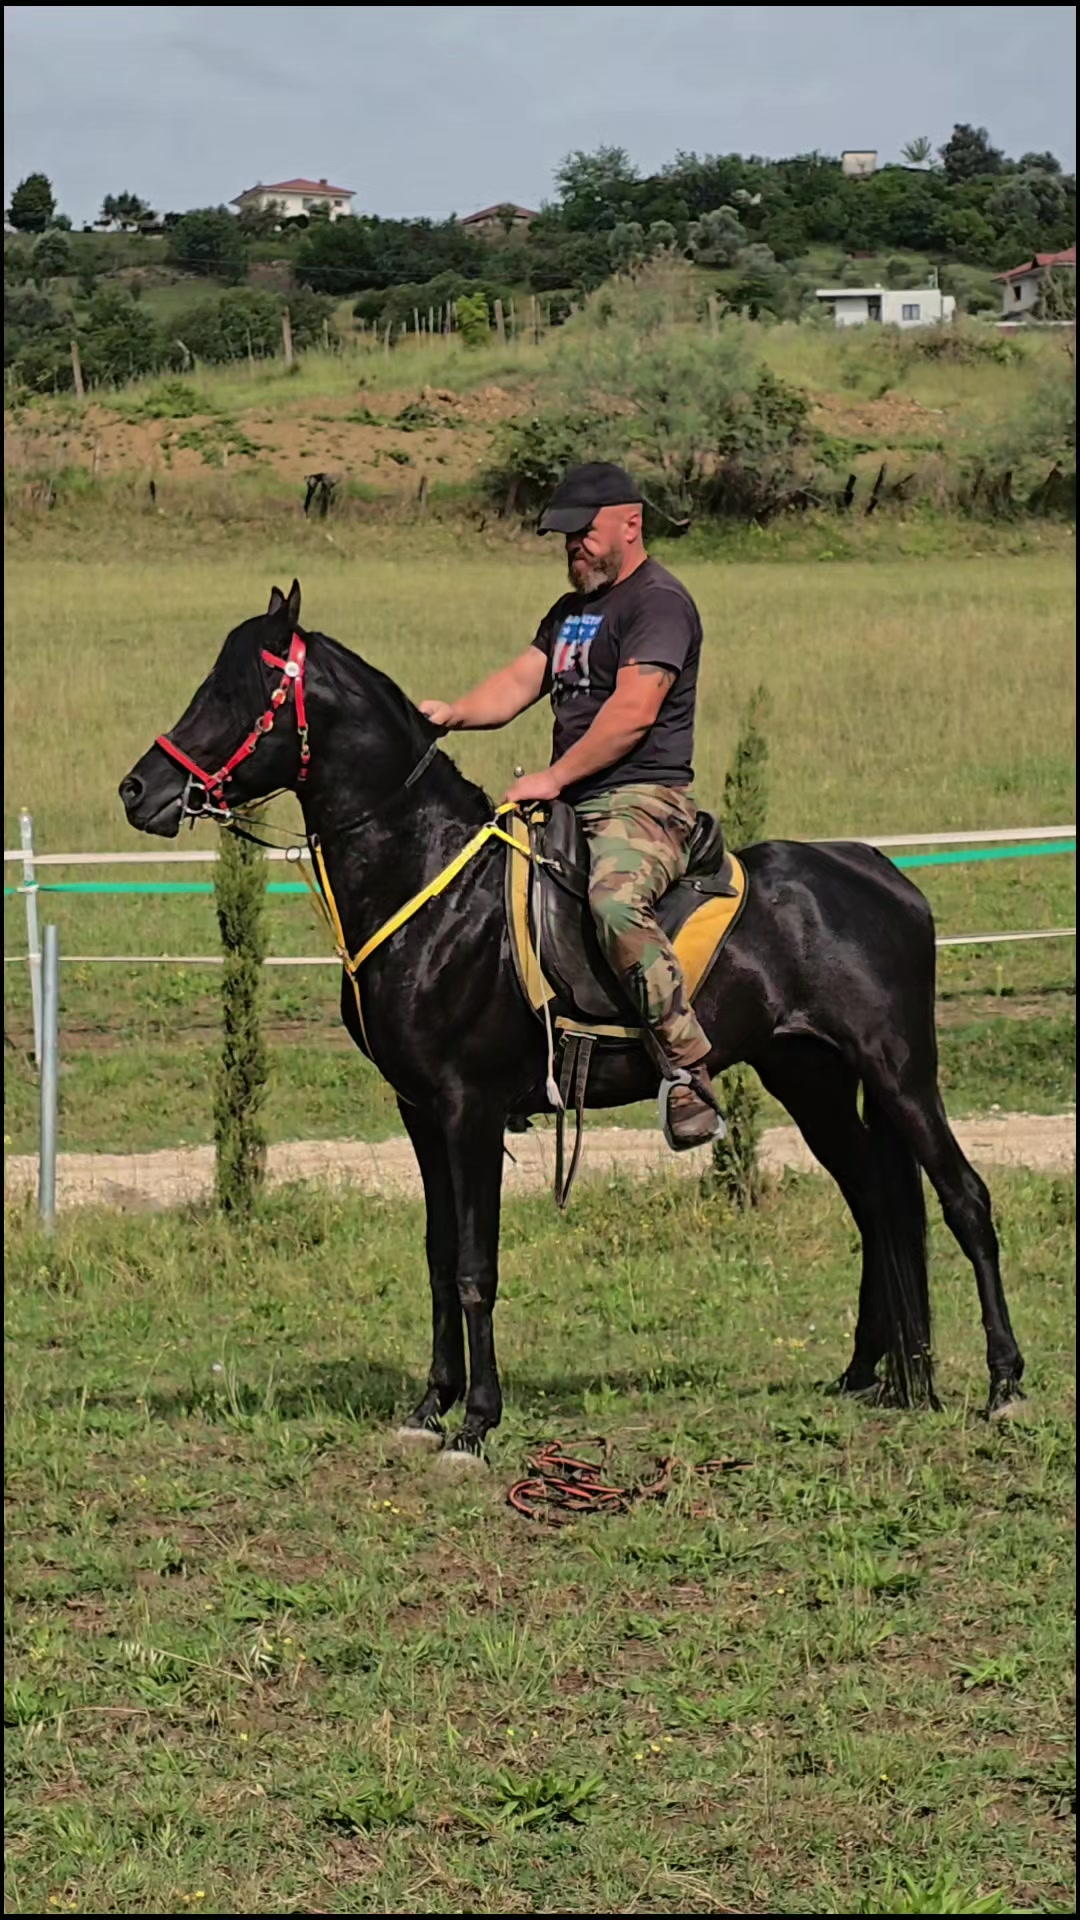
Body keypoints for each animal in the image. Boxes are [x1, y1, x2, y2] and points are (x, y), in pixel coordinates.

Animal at [118, 580, 1026, 1460]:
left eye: (239, 691)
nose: (138, 790)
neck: (436, 888)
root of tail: (881, 874)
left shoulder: (470, 1109)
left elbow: (476, 1265)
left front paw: (477, 1421)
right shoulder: (420, 1113)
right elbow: (439, 1257)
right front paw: (430, 1406)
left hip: (899, 1073)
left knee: (964, 1200)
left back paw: (1003, 1385)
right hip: (812, 1080)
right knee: (877, 1202)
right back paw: (877, 1374)